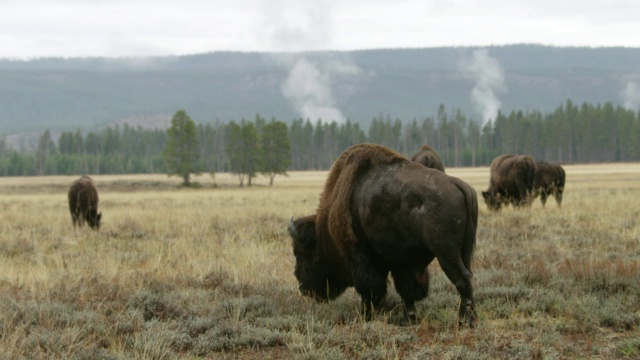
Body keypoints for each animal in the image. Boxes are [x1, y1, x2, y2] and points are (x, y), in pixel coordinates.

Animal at [288, 143, 478, 326]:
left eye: (301, 253)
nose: (302, 287)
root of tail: (460, 186)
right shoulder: (402, 261)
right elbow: (406, 289)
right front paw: (409, 318)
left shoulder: (360, 256)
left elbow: (370, 288)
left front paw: (367, 316)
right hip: (465, 252)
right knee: (467, 277)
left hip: (446, 253)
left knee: (461, 280)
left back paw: (465, 321)